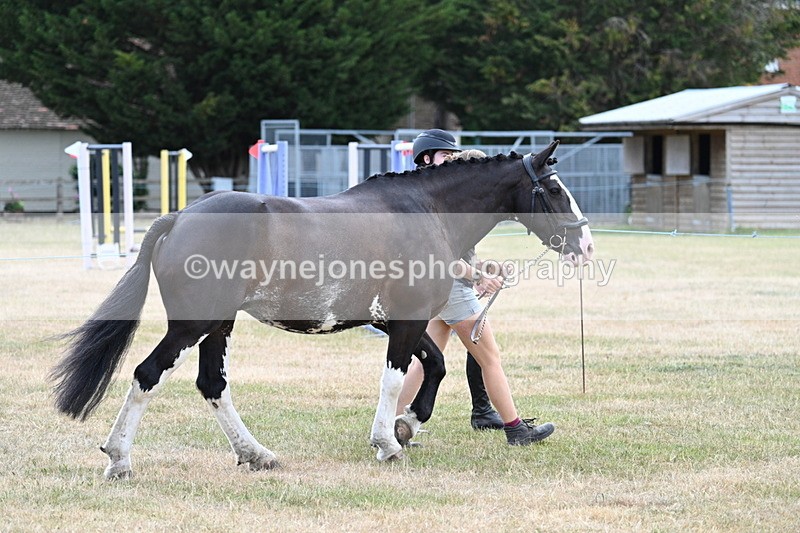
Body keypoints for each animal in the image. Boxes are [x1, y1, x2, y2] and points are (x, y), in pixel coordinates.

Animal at [50, 140, 594, 479]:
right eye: (554, 189)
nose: (585, 244)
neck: (426, 210)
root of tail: (179, 217)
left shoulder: (397, 321)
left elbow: (435, 367)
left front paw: (407, 425)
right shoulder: (407, 321)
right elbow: (395, 379)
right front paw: (389, 442)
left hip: (219, 327)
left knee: (212, 385)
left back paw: (256, 454)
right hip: (192, 325)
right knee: (148, 374)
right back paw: (119, 459)